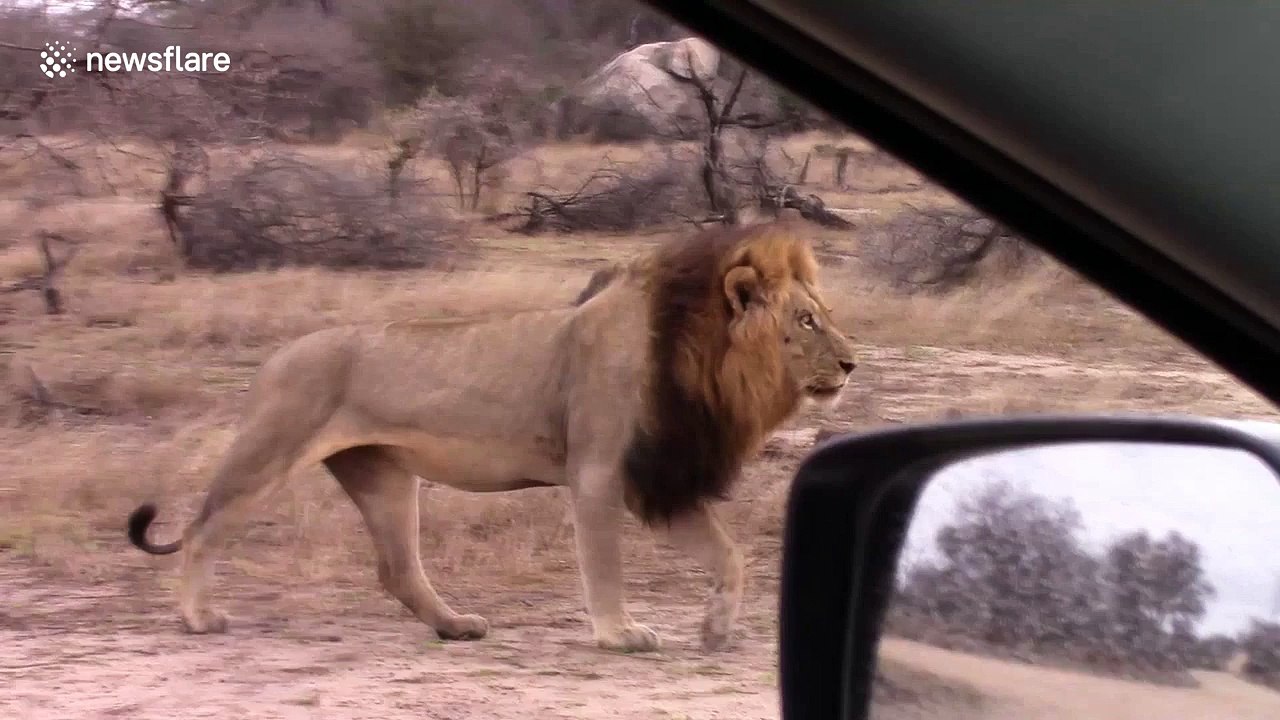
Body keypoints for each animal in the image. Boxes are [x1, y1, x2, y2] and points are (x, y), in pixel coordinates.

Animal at [126, 220, 858, 653]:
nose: (853, 364)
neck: (704, 361)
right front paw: (619, 633)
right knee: (203, 530)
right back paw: (198, 618)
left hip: (382, 475)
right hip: (269, 453)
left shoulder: (654, 477)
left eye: (823, 314)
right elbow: (605, 565)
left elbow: (731, 555)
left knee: (397, 568)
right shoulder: (599, 475)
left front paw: (716, 629)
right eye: (806, 321)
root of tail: (274, 358)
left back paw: (456, 626)